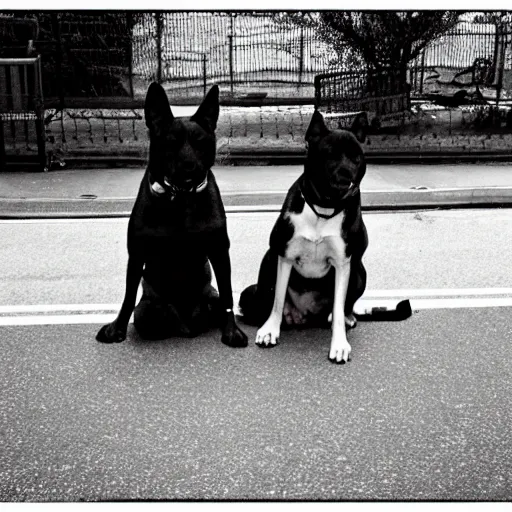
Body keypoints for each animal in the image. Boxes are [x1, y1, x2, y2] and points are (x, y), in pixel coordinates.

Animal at [97, 84, 248, 348]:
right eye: (171, 143)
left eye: (200, 142)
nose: (190, 166)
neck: (181, 197)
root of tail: (186, 326)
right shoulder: (136, 252)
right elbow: (128, 295)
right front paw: (117, 328)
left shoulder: (220, 250)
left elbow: (228, 294)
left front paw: (231, 331)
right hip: (148, 310)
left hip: (211, 299)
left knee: (220, 303)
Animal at [240, 110, 368, 362]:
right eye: (329, 154)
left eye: (356, 158)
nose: (347, 176)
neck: (324, 208)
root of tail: (306, 315)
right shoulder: (284, 256)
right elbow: (278, 299)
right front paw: (270, 329)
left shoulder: (343, 264)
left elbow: (339, 306)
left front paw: (339, 343)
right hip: (269, 259)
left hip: (359, 270)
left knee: (344, 306)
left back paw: (347, 317)